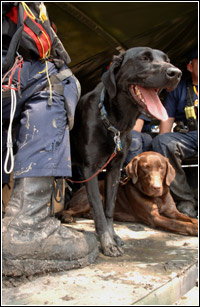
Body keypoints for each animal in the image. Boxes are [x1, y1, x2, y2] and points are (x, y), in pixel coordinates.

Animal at [69, 46, 182, 258]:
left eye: (167, 59)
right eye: (144, 58)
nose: (177, 73)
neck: (114, 122)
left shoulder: (114, 169)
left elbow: (109, 208)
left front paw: (113, 237)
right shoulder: (91, 170)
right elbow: (98, 210)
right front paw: (107, 243)